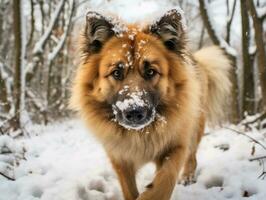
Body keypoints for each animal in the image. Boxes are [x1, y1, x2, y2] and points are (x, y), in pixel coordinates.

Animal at [69, 9, 232, 200]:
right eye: (116, 72)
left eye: (151, 72)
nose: (134, 112)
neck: (141, 134)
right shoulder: (120, 158)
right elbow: (129, 189)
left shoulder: (177, 145)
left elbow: (164, 181)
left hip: (195, 126)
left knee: (192, 156)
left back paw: (187, 176)